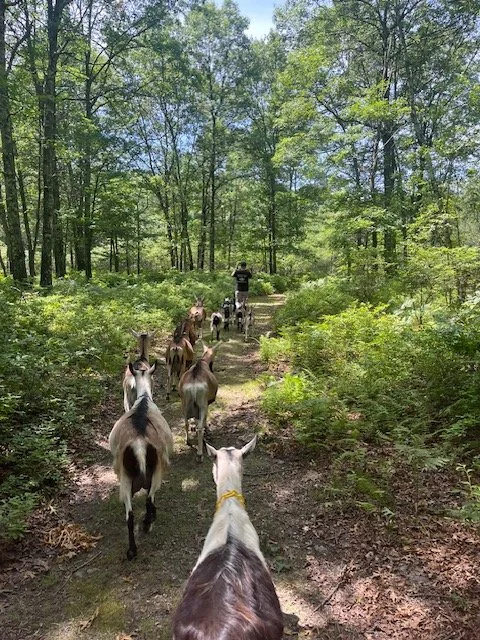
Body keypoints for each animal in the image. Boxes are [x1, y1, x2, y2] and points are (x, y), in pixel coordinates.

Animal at [109, 361, 173, 560]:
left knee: (129, 516)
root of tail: (138, 444)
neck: (144, 400)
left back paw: (132, 550)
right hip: (155, 471)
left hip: (126, 478)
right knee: (149, 499)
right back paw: (147, 522)